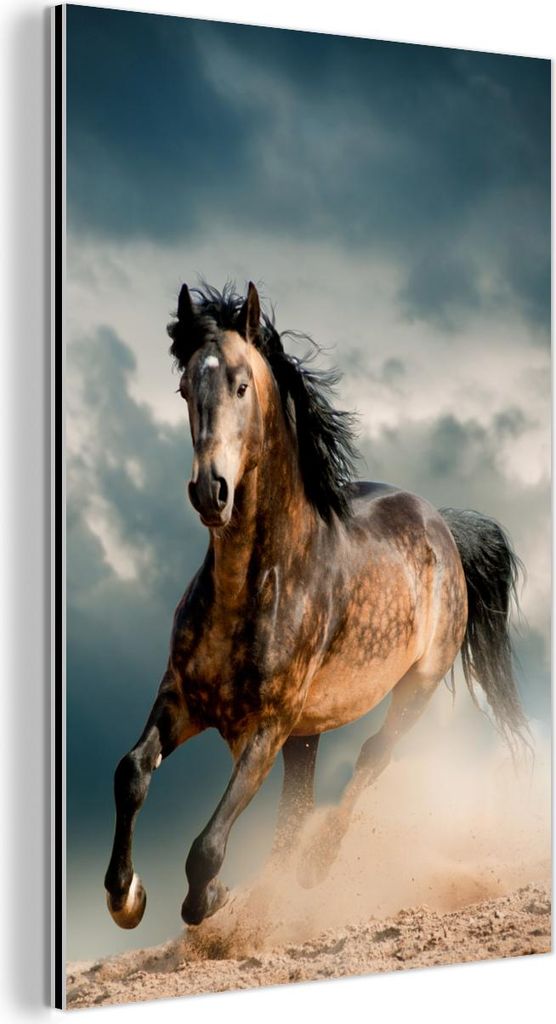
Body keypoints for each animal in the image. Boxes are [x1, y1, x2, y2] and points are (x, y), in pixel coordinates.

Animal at [104, 281, 528, 929]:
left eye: (241, 384)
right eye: (184, 389)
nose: (210, 492)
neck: (255, 586)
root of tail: (444, 526)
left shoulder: (267, 726)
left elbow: (207, 847)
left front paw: (211, 898)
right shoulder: (181, 699)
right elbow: (131, 773)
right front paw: (126, 896)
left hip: (415, 688)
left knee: (371, 760)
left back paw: (316, 864)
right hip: (309, 732)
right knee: (298, 807)